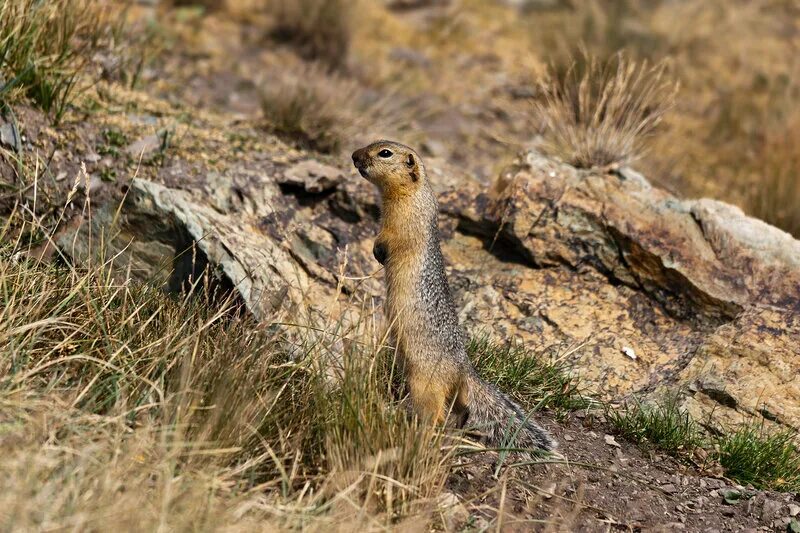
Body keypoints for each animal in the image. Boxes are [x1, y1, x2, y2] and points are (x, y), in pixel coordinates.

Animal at [350, 140, 556, 454]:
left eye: (385, 153)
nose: (353, 156)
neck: (409, 194)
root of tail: (464, 369)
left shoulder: (403, 222)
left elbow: (392, 237)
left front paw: (378, 251)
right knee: (460, 410)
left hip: (424, 383)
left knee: (436, 413)